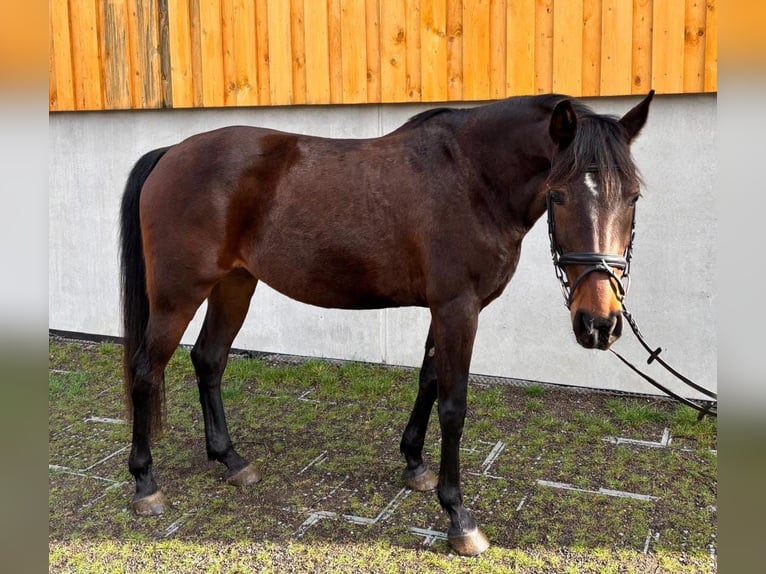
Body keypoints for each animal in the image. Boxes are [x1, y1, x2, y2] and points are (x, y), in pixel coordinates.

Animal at [119, 90, 654, 556]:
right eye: (558, 195)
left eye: (632, 198)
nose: (598, 324)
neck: (472, 178)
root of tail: (171, 154)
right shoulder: (457, 308)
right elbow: (454, 407)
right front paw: (459, 518)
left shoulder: (447, 309)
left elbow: (429, 380)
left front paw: (415, 465)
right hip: (177, 295)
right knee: (147, 370)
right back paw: (145, 483)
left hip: (234, 284)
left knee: (209, 360)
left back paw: (231, 460)